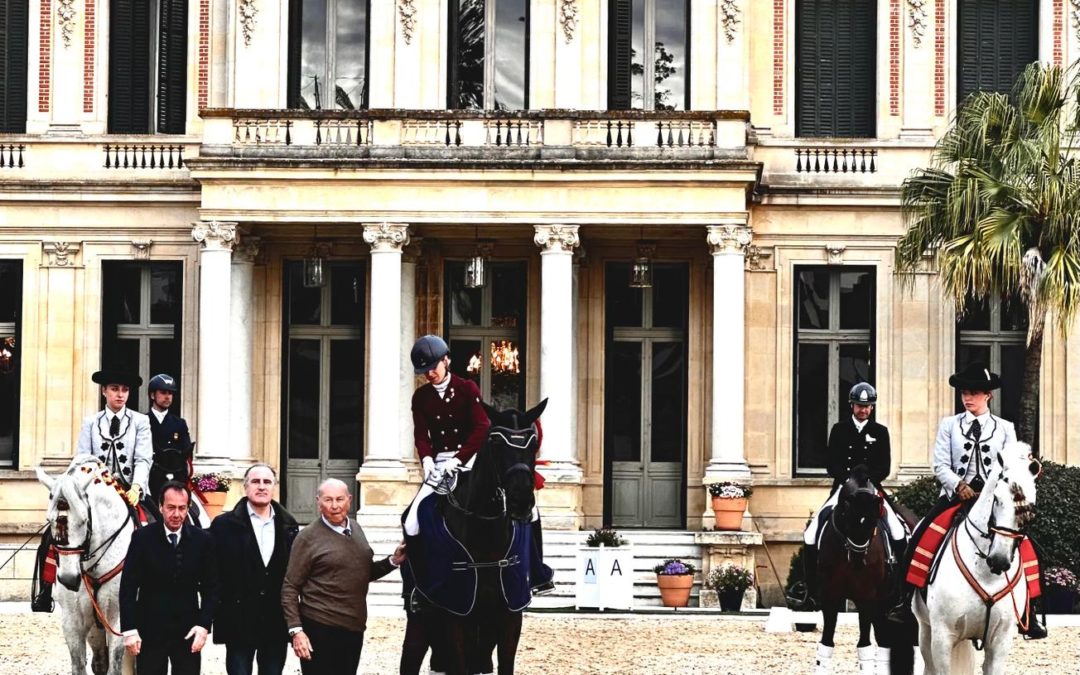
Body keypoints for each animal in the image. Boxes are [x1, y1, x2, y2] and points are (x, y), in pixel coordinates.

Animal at [37, 453, 136, 673]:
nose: (68, 579)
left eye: (84, 520)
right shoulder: (73, 621)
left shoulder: (118, 619)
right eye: (49, 519)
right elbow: (80, 664)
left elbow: (115, 666)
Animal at [812, 466, 915, 669]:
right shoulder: (830, 597)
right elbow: (825, 645)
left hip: (886, 603)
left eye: (873, 521)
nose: (859, 561)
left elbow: (864, 647)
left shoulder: (866, 598)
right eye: (847, 516)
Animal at [915, 440, 1041, 669]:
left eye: (1030, 507)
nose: (999, 560)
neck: (985, 573)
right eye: (996, 498)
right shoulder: (942, 637)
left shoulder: (1000, 641)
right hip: (925, 629)